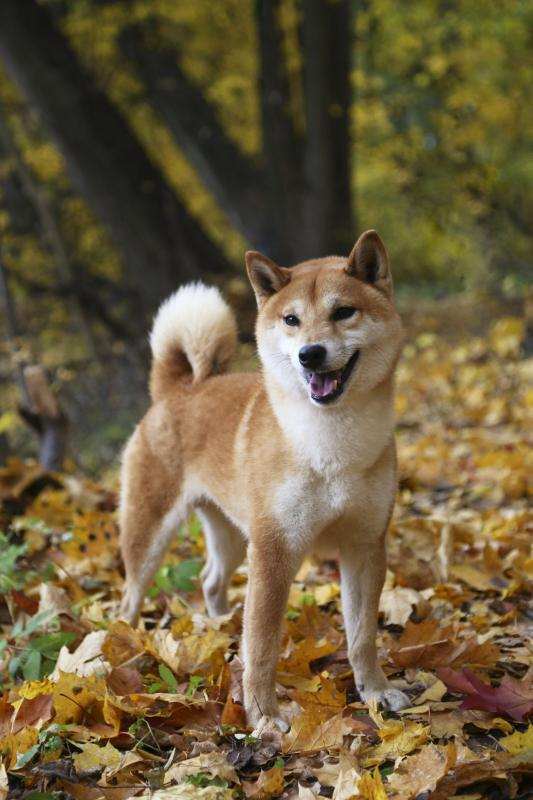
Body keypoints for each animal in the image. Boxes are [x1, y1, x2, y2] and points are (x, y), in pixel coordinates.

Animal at [119, 230, 408, 732]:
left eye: (343, 312)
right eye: (291, 320)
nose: (310, 354)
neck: (330, 446)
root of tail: (178, 390)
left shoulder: (364, 544)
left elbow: (361, 637)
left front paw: (374, 690)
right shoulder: (275, 549)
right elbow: (262, 645)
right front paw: (263, 716)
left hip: (234, 536)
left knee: (211, 581)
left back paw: (218, 627)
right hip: (153, 532)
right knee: (131, 596)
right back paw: (127, 644)